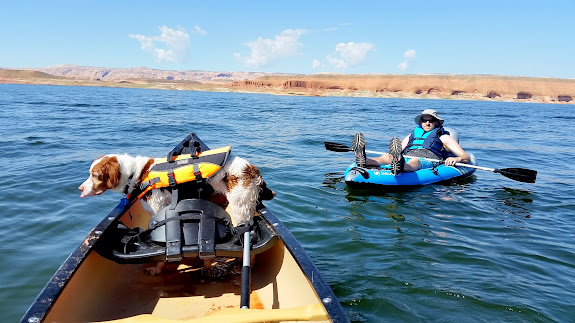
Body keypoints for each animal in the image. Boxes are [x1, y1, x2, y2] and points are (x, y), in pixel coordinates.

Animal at [80, 154, 276, 276]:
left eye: (95, 175)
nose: (80, 189)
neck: (136, 174)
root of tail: (252, 169)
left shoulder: (159, 210)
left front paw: (157, 268)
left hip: (240, 208)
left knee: (249, 239)